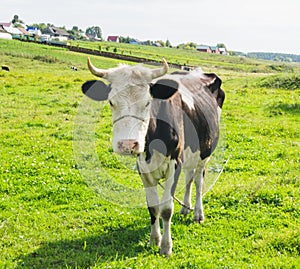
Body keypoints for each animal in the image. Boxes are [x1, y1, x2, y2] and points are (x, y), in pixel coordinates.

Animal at [81, 57, 224, 254]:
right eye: (111, 102)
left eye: (148, 102)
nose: (127, 145)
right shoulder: (143, 167)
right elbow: (153, 207)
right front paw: (154, 239)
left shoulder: (174, 163)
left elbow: (166, 209)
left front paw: (166, 246)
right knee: (189, 178)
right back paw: (185, 209)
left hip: (205, 152)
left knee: (198, 180)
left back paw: (197, 213)